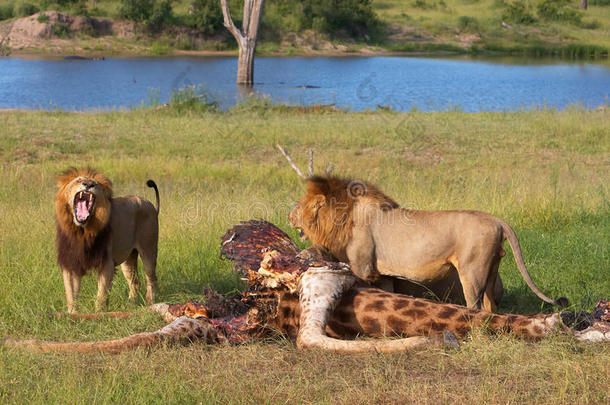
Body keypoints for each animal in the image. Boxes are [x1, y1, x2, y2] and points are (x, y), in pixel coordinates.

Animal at [55, 167, 160, 312]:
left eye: (94, 183)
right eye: (79, 180)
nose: (88, 185)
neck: (82, 231)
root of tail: (151, 206)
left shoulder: (106, 262)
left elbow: (102, 293)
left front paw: (99, 313)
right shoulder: (71, 263)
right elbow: (71, 294)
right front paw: (72, 314)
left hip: (149, 250)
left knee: (151, 279)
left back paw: (150, 302)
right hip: (128, 259)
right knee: (135, 282)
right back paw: (131, 304)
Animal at [288, 175, 568, 310]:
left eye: (300, 205)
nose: (289, 215)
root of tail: (497, 220)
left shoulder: (363, 268)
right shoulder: (383, 275)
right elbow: (387, 295)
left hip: (472, 270)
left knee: (476, 304)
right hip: (491, 270)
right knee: (490, 306)